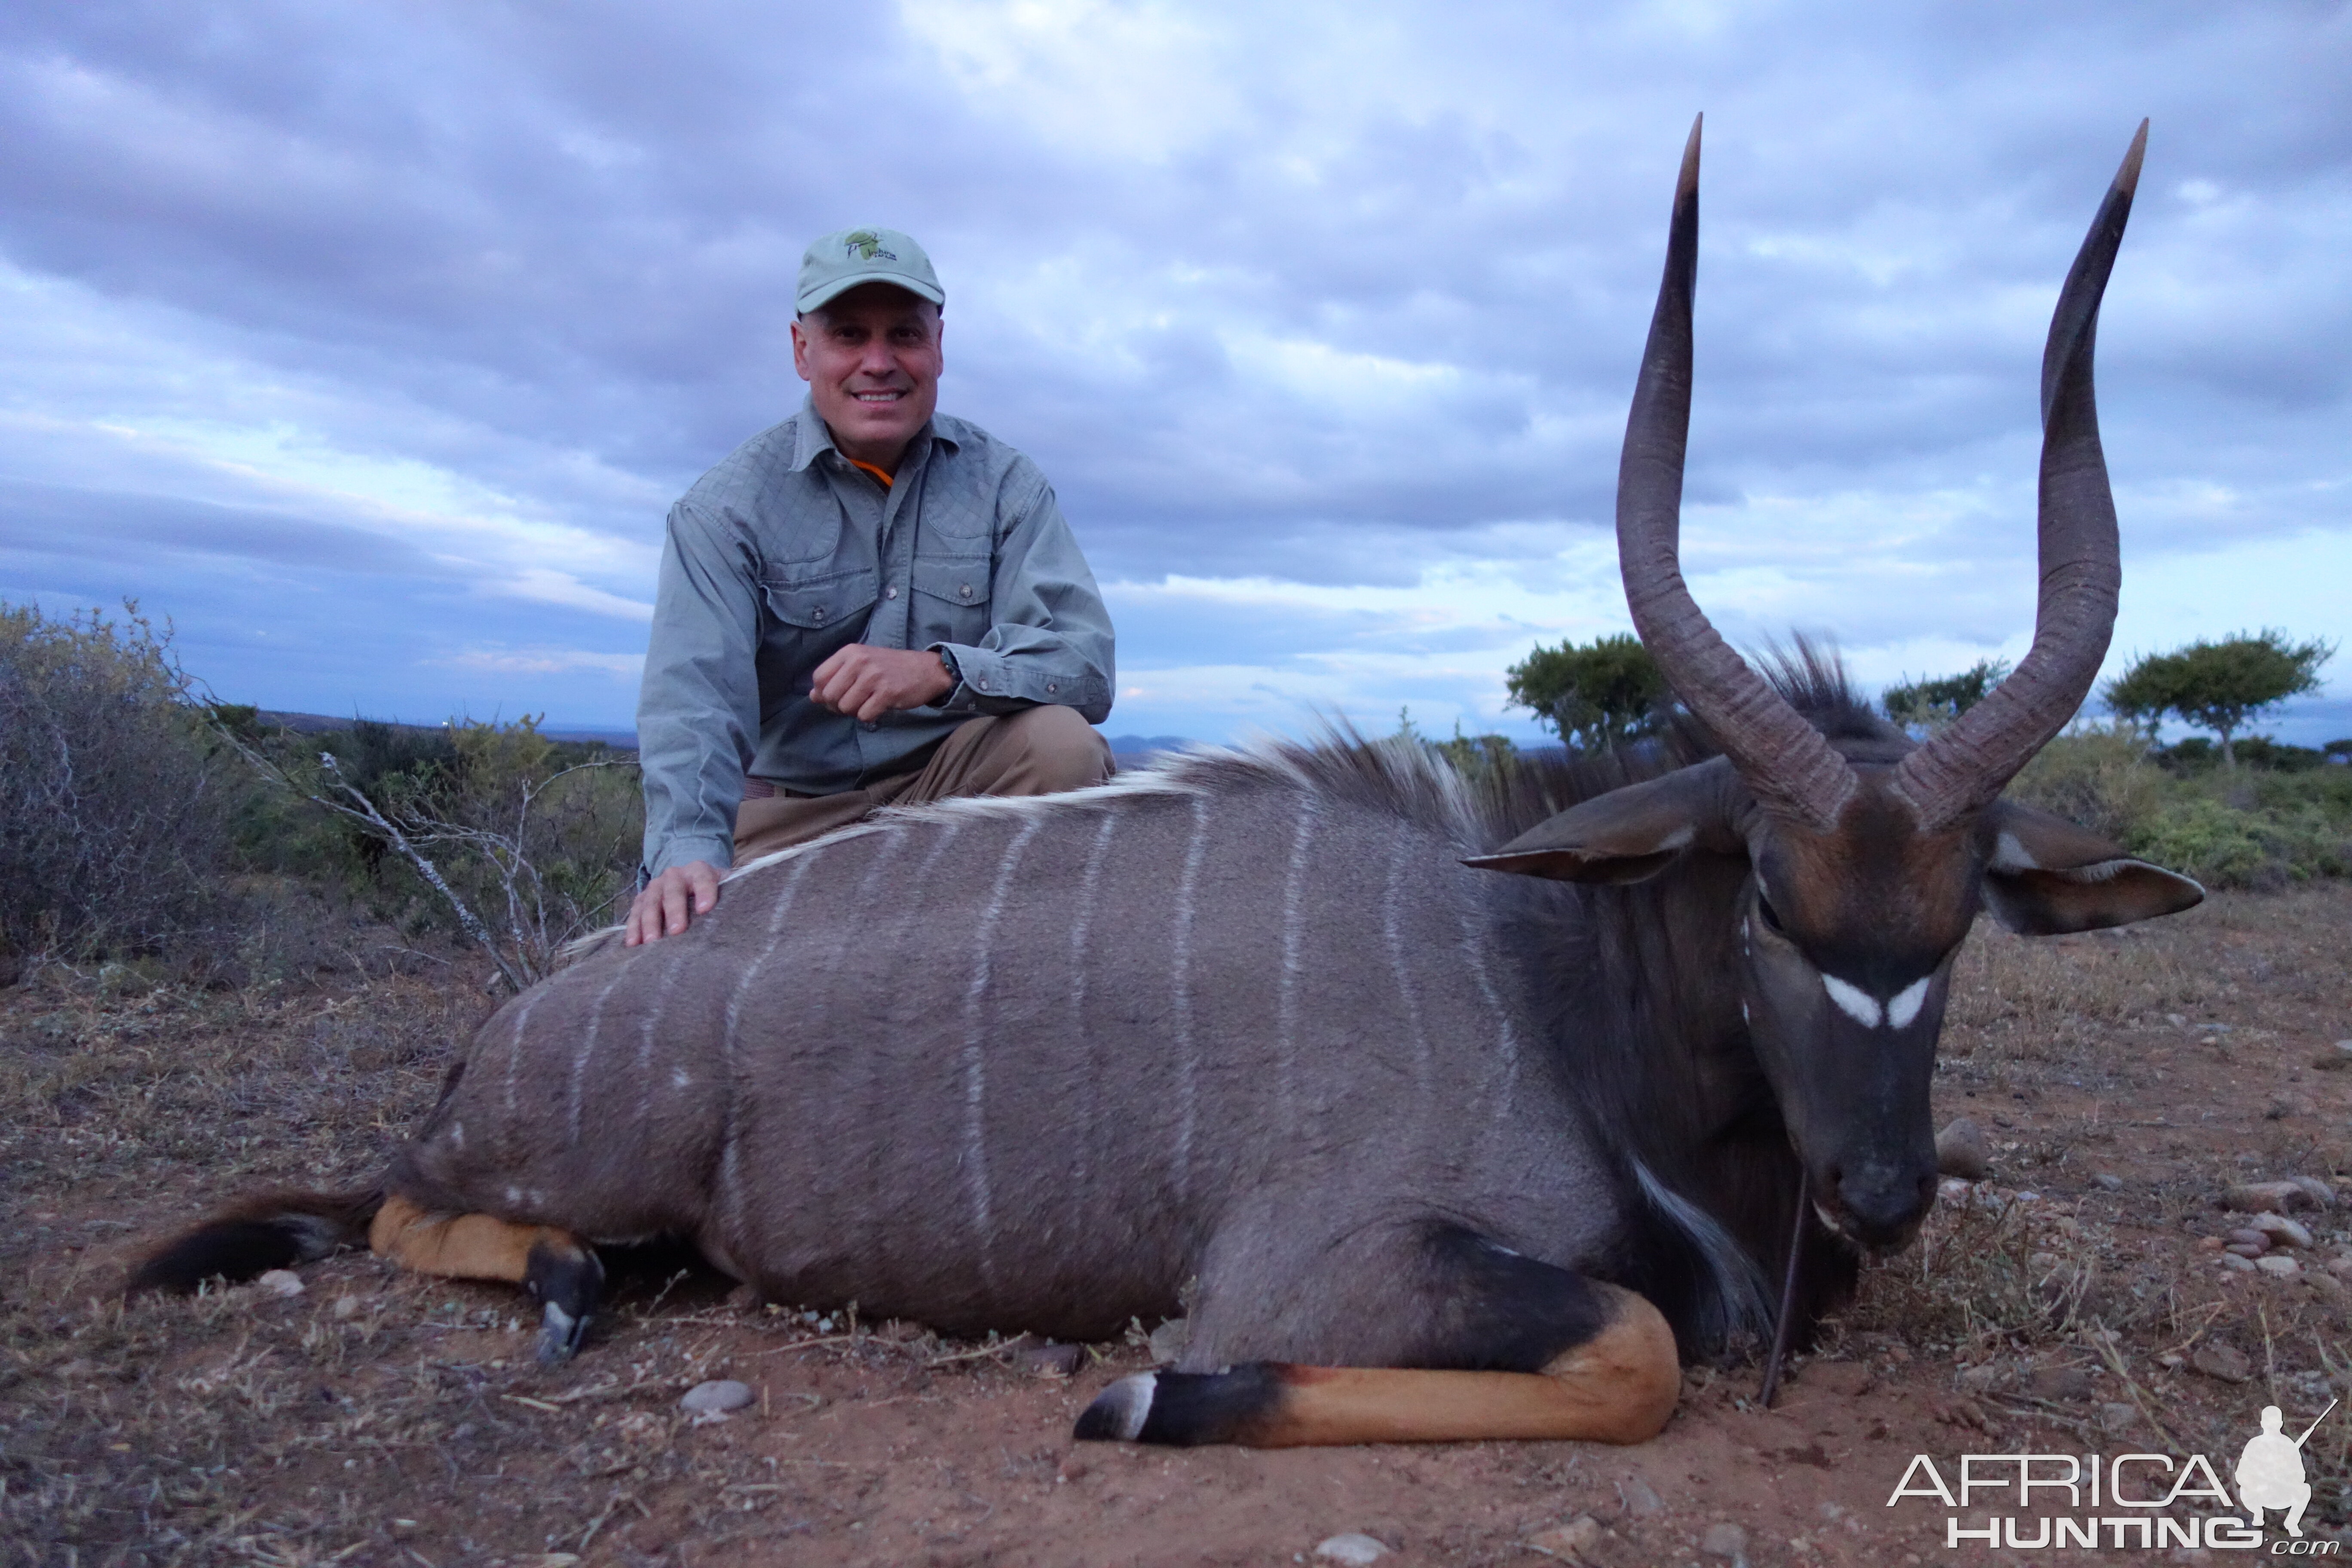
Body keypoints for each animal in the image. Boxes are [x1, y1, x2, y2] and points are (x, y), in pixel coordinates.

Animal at [129, 116, 2192, 1457]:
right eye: (1765, 894)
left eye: (1959, 914)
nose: (1878, 1188)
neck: (1559, 987)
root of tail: (516, 1018)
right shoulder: (1323, 1265)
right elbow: (1629, 1351)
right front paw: (1146, 1393)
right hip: (574, 1154)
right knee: (396, 1207)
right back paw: (564, 1281)